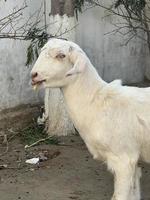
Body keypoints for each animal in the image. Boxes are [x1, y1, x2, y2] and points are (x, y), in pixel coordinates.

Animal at [30, 38, 150, 199]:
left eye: (61, 55)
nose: (34, 75)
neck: (96, 101)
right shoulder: (134, 162)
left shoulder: (124, 158)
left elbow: (119, 196)